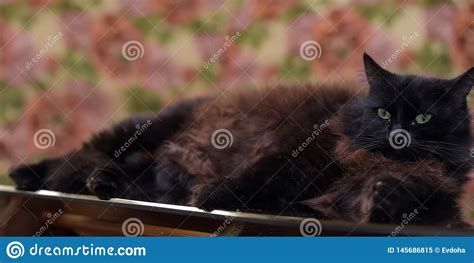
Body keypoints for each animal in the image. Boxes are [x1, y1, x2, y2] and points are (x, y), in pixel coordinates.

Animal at [9, 54, 472, 226]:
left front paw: (384, 196)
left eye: (424, 118)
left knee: (107, 172)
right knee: (80, 154)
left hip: (150, 168)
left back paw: (102, 182)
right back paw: (27, 173)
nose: (399, 136)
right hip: (146, 127)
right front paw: (214, 195)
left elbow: (409, 195)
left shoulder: (428, 188)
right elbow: (258, 178)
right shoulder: (299, 153)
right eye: (383, 113)